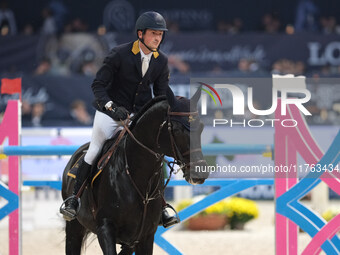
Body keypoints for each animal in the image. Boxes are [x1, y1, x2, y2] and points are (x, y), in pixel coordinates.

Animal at [62, 88, 209, 254]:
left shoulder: (144, 236)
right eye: (176, 130)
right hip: (74, 226)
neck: (137, 176)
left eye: (201, 127)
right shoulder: (105, 229)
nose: (200, 173)